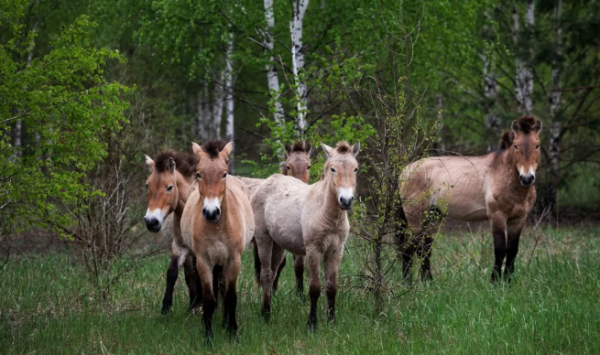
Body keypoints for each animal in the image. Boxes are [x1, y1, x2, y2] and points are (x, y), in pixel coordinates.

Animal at [143, 150, 202, 314]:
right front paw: (166, 307)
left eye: (169, 187)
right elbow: (172, 273)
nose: (151, 222)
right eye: (147, 186)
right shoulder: (179, 247)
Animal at [185, 140, 255, 340]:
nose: (211, 212)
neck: (217, 228)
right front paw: (208, 337)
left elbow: (231, 297)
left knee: (223, 289)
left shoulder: (233, 261)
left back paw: (225, 323)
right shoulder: (204, 262)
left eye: (223, 174)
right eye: (198, 174)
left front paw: (233, 333)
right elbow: (209, 299)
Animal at [239, 142, 314, 298]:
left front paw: (300, 296)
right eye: (288, 166)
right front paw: (272, 292)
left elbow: (298, 266)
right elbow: (280, 264)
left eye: (308, 166)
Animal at [251, 141, 358, 330]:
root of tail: (268, 181)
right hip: (264, 239)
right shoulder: (313, 250)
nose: (346, 201)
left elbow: (332, 287)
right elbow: (314, 288)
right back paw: (265, 314)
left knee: (273, 273)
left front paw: (331, 322)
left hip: (278, 246)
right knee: (266, 275)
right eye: (333, 169)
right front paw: (312, 323)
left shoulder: (336, 251)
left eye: (355, 169)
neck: (326, 213)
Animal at [398, 117, 544, 284]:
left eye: (537, 145)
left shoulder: (519, 219)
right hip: (416, 217)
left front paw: (508, 281)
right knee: (409, 247)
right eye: (515, 145)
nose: (527, 178)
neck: (504, 174)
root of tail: (404, 171)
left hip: (434, 215)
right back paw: (407, 283)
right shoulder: (497, 216)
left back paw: (428, 282)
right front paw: (495, 281)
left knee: (425, 248)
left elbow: (512, 250)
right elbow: (500, 249)